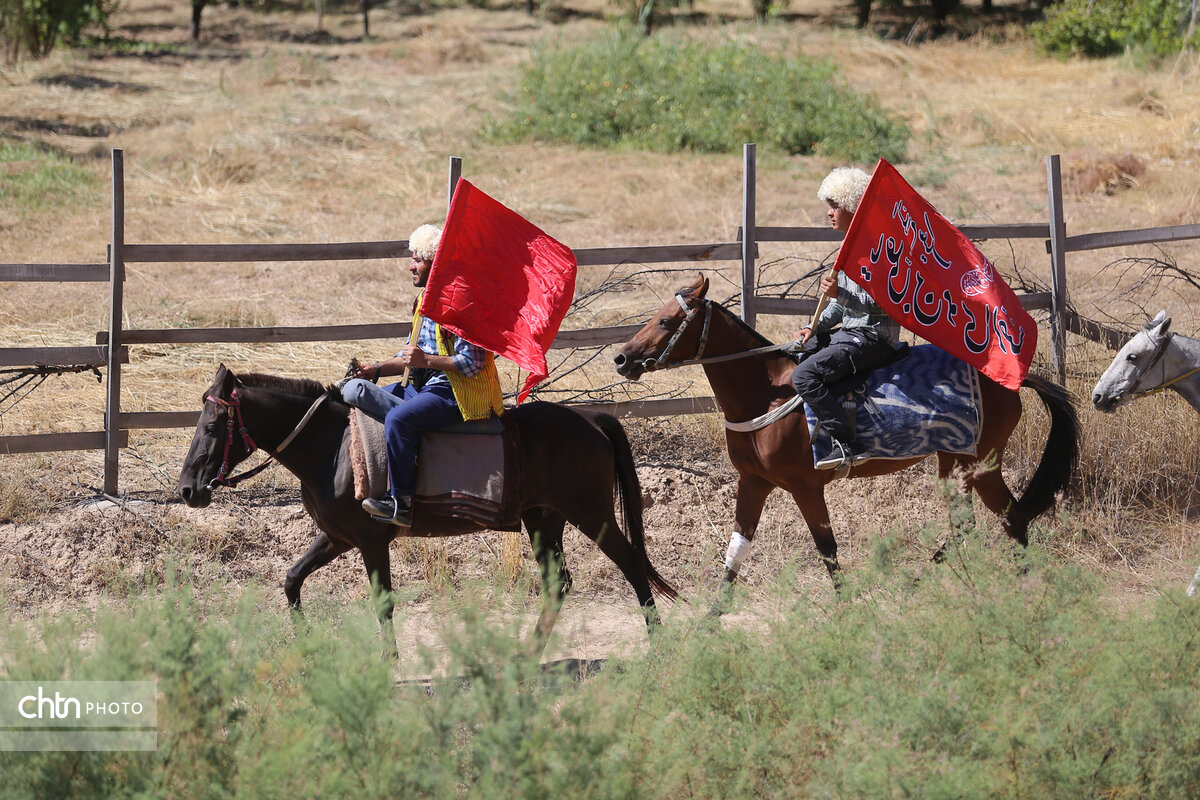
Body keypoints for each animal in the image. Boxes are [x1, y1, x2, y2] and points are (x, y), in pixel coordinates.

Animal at [175, 367, 676, 652]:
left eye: (214, 425)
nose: (188, 490)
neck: (334, 449)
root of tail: (592, 419)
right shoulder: (337, 537)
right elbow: (292, 579)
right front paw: (306, 644)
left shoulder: (371, 540)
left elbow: (383, 604)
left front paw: (390, 665)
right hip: (543, 520)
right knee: (559, 584)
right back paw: (529, 654)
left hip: (592, 514)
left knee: (632, 565)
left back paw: (658, 647)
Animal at [614, 272, 1084, 604]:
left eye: (665, 321)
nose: (621, 358)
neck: (767, 392)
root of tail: (1012, 382)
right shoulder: (754, 483)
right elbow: (735, 553)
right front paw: (709, 621)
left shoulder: (806, 487)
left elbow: (827, 549)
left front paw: (847, 612)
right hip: (953, 462)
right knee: (967, 524)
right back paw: (929, 579)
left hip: (981, 464)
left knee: (1012, 518)